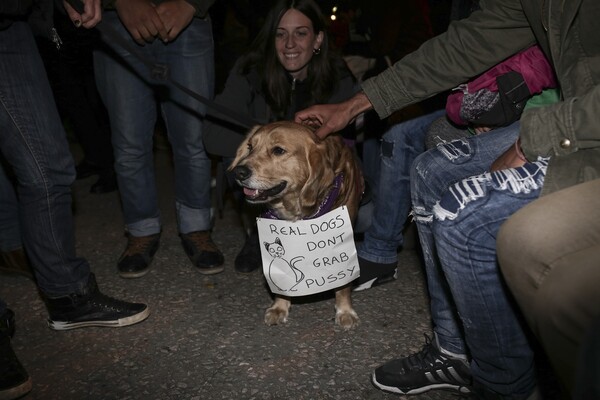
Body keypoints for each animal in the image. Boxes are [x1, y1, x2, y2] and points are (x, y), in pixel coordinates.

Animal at [229, 122, 360, 332]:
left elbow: (343, 283)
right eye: (250, 147)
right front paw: (280, 306)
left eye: (278, 150)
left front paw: (345, 311)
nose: (238, 172)